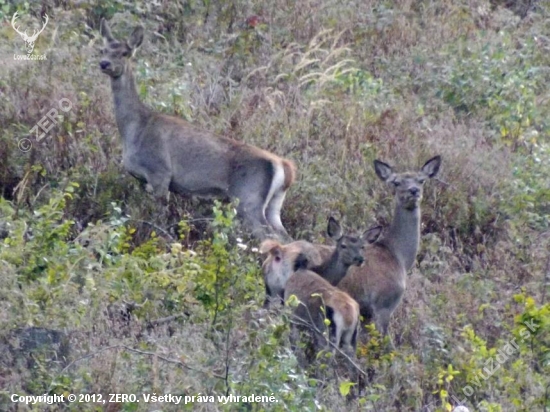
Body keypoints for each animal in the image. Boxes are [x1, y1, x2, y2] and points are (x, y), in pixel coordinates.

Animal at [99, 20, 298, 240]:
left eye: (125, 52)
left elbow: (159, 219)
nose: (104, 64)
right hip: (273, 203)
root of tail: (285, 167)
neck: (135, 129)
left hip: (249, 198)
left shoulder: (159, 172)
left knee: (270, 236)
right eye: (103, 49)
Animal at [338, 156, 442, 346]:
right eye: (396, 182)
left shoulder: (366, 311)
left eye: (421, 180)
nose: (413, 190)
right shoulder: (384, 302)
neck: (399, 257)